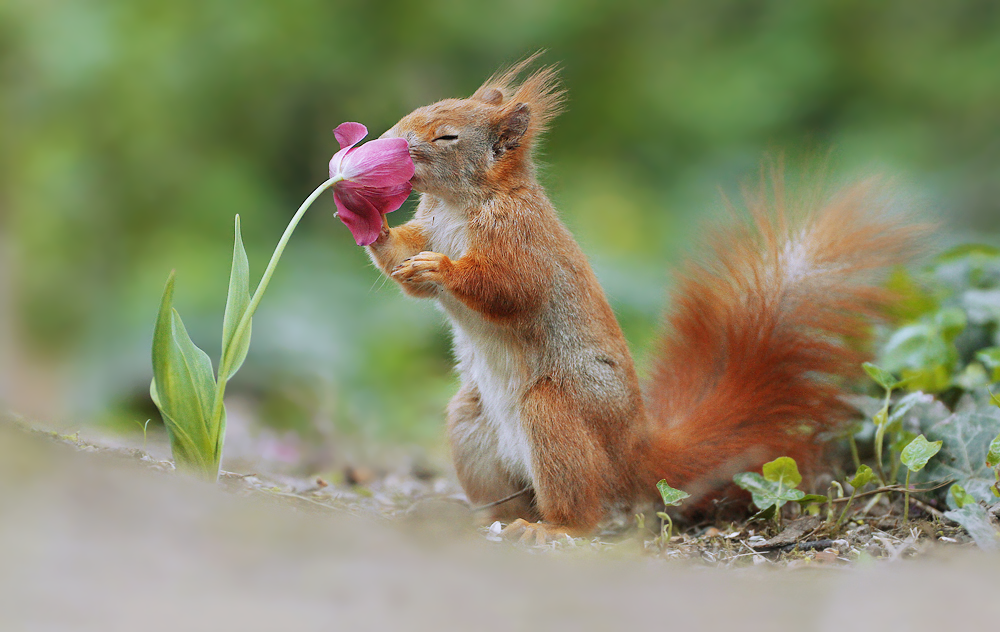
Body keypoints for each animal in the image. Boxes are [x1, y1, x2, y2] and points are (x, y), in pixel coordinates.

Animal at [366, 56, 916, 536]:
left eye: (448, 136)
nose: (388, 141)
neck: (458, 205)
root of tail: (633, 451)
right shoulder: (430, 226)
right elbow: (405, 266)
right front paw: (373, 224)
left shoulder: (524, 240)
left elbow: (510, 289)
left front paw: (441, 267)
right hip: (472, 423)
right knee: (509, 495)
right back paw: (484, 521)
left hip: (554, 416)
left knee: (580, 508)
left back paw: (553, 530)